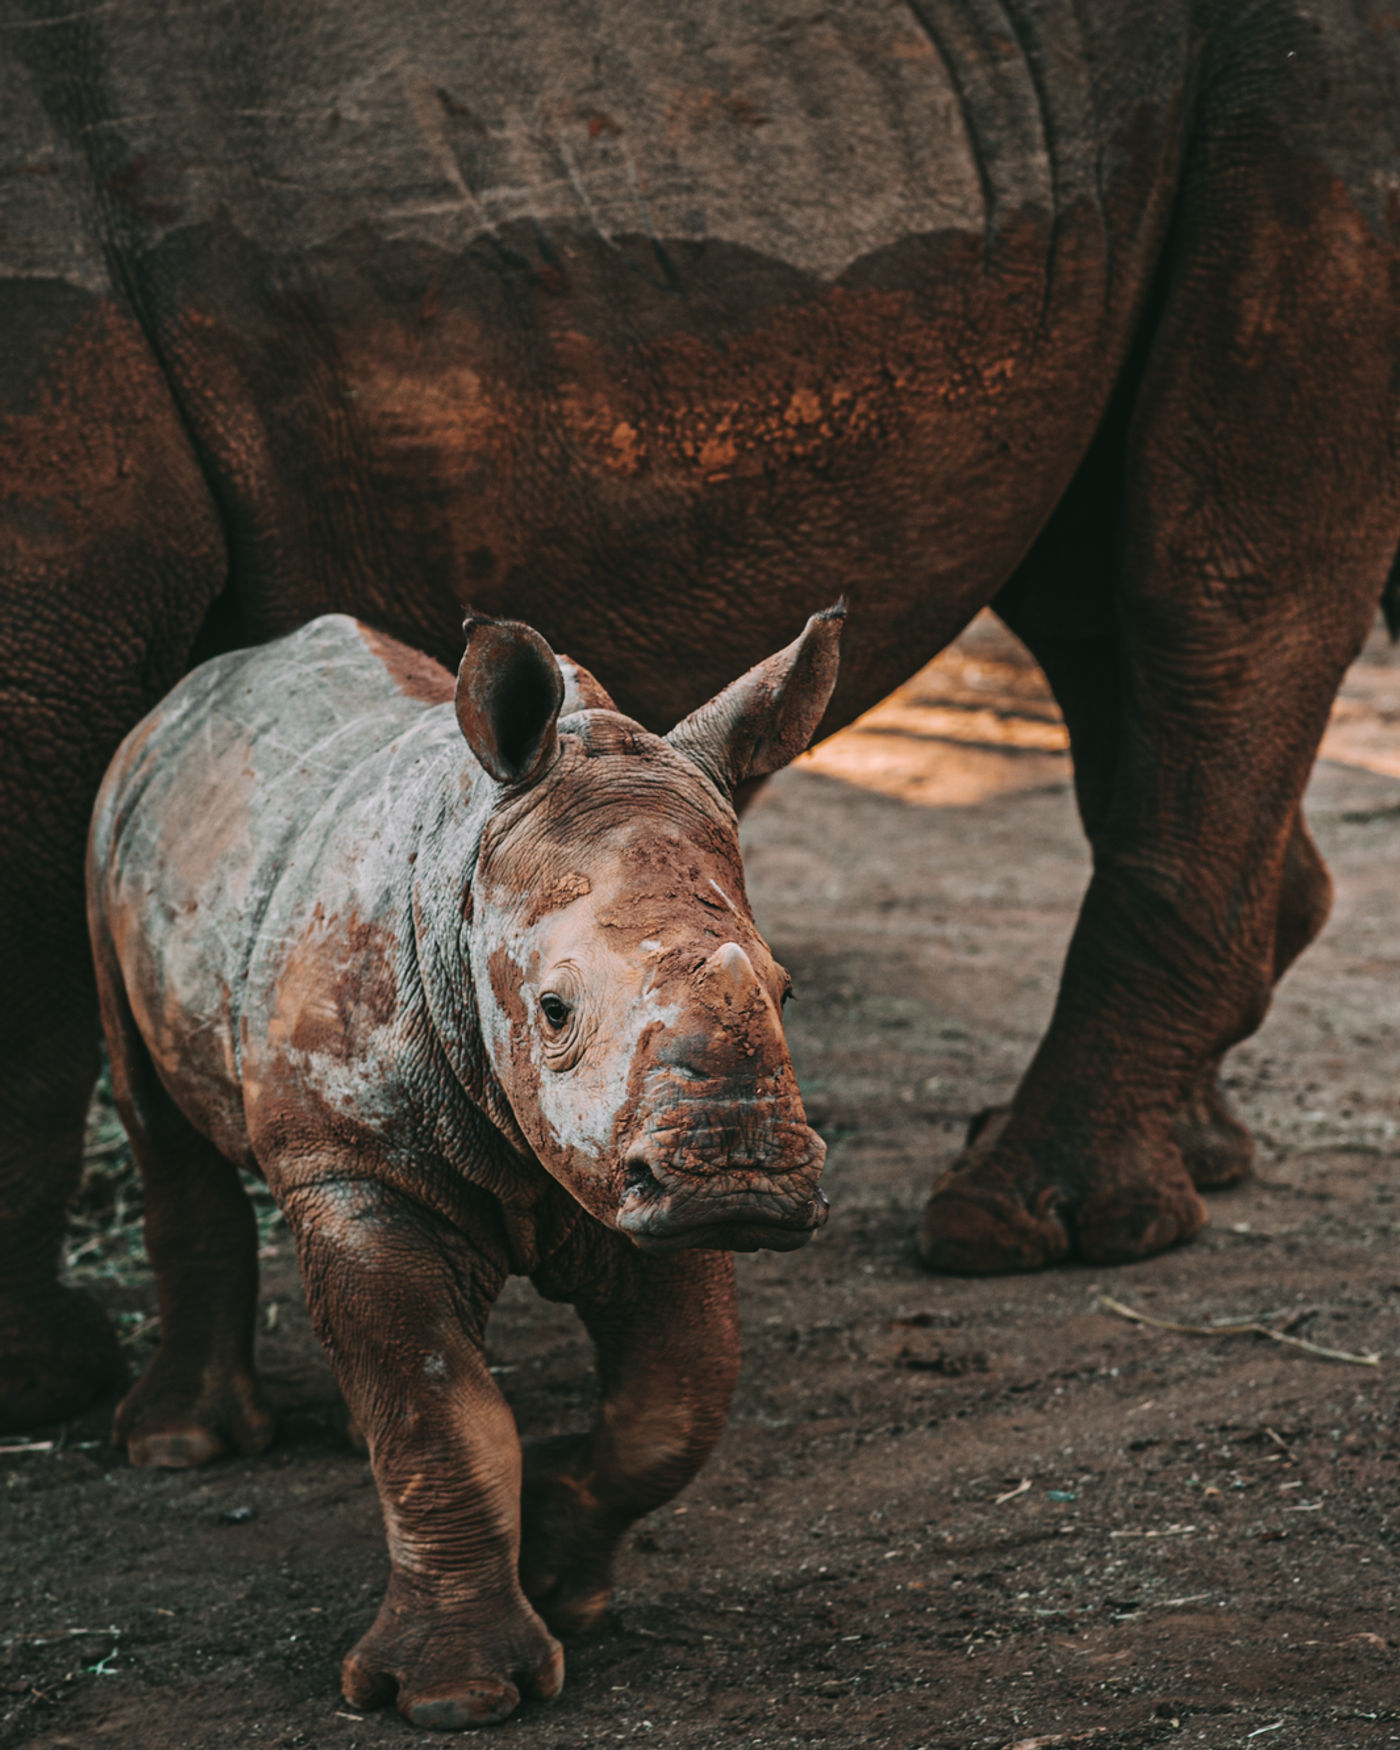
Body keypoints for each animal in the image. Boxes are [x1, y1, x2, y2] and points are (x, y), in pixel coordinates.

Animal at [3, 0, 1400, 1431]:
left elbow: (22, 994)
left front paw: (33, 1382)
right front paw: (47, 1382)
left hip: (1301, 83)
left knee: (1211, 573)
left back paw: (1022, 1227)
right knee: (1094, 598)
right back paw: (1178, 1162)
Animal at [85, 608, 840, 1729]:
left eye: (784, 992)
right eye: (555, 1010)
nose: (739, 1180)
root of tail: (195, 690)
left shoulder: (638, 1185)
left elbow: (680, 1396)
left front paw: (562, 1577)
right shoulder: (355, 1173)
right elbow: (434, 1410)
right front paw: (455, 1699)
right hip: (110, 825)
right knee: (155, 1115)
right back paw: (182, 1449)